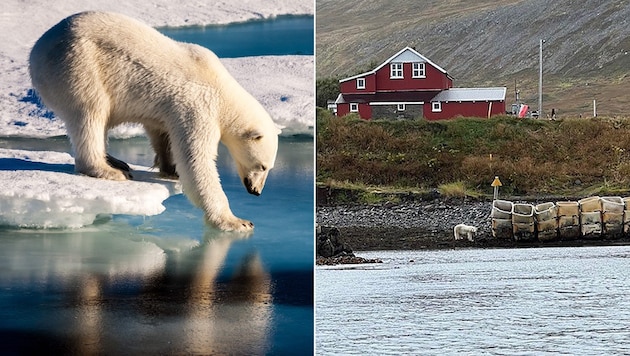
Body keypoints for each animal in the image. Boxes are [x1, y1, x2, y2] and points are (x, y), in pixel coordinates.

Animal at [29, 11, 282, 231]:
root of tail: (37, 51)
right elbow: (196, 161)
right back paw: (109, 170)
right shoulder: (198, 106)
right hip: (78, 66)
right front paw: (237, 221)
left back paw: (116, 161)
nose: (256, 191)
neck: (222, 90)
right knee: (90, 113)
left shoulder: (168, 110)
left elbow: (161, 132)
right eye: (262, 166)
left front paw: (170, 168)